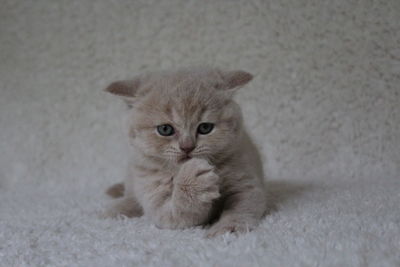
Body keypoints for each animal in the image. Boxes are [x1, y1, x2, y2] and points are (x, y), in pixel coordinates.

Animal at [104, 67, 268, 239]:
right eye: (165, 129)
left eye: (205, 128)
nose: (187, 147)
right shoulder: (157, 204)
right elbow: (178, 212)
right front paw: (193, 181)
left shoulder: (247, 184)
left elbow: (241, 208)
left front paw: (228, 229)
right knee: (130, 194)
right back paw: (116, 209)